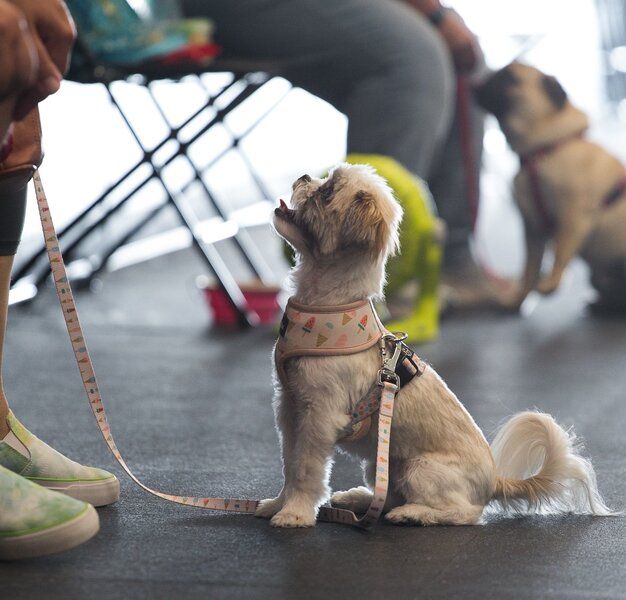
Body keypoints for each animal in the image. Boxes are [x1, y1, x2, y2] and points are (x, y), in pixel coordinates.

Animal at [256, 163, 608, 524]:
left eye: (327, 192)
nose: (304, 177)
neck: (327, 305)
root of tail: (494, 480)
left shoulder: (320, 416)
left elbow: (305, 470)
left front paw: (294, 513)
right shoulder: (289, 407)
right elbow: (289, 463)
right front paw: (277, 503)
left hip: (420, 469)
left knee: (461, 512)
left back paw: (411, 513)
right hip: (382, 464)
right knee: (386, 495)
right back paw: (358, 499)